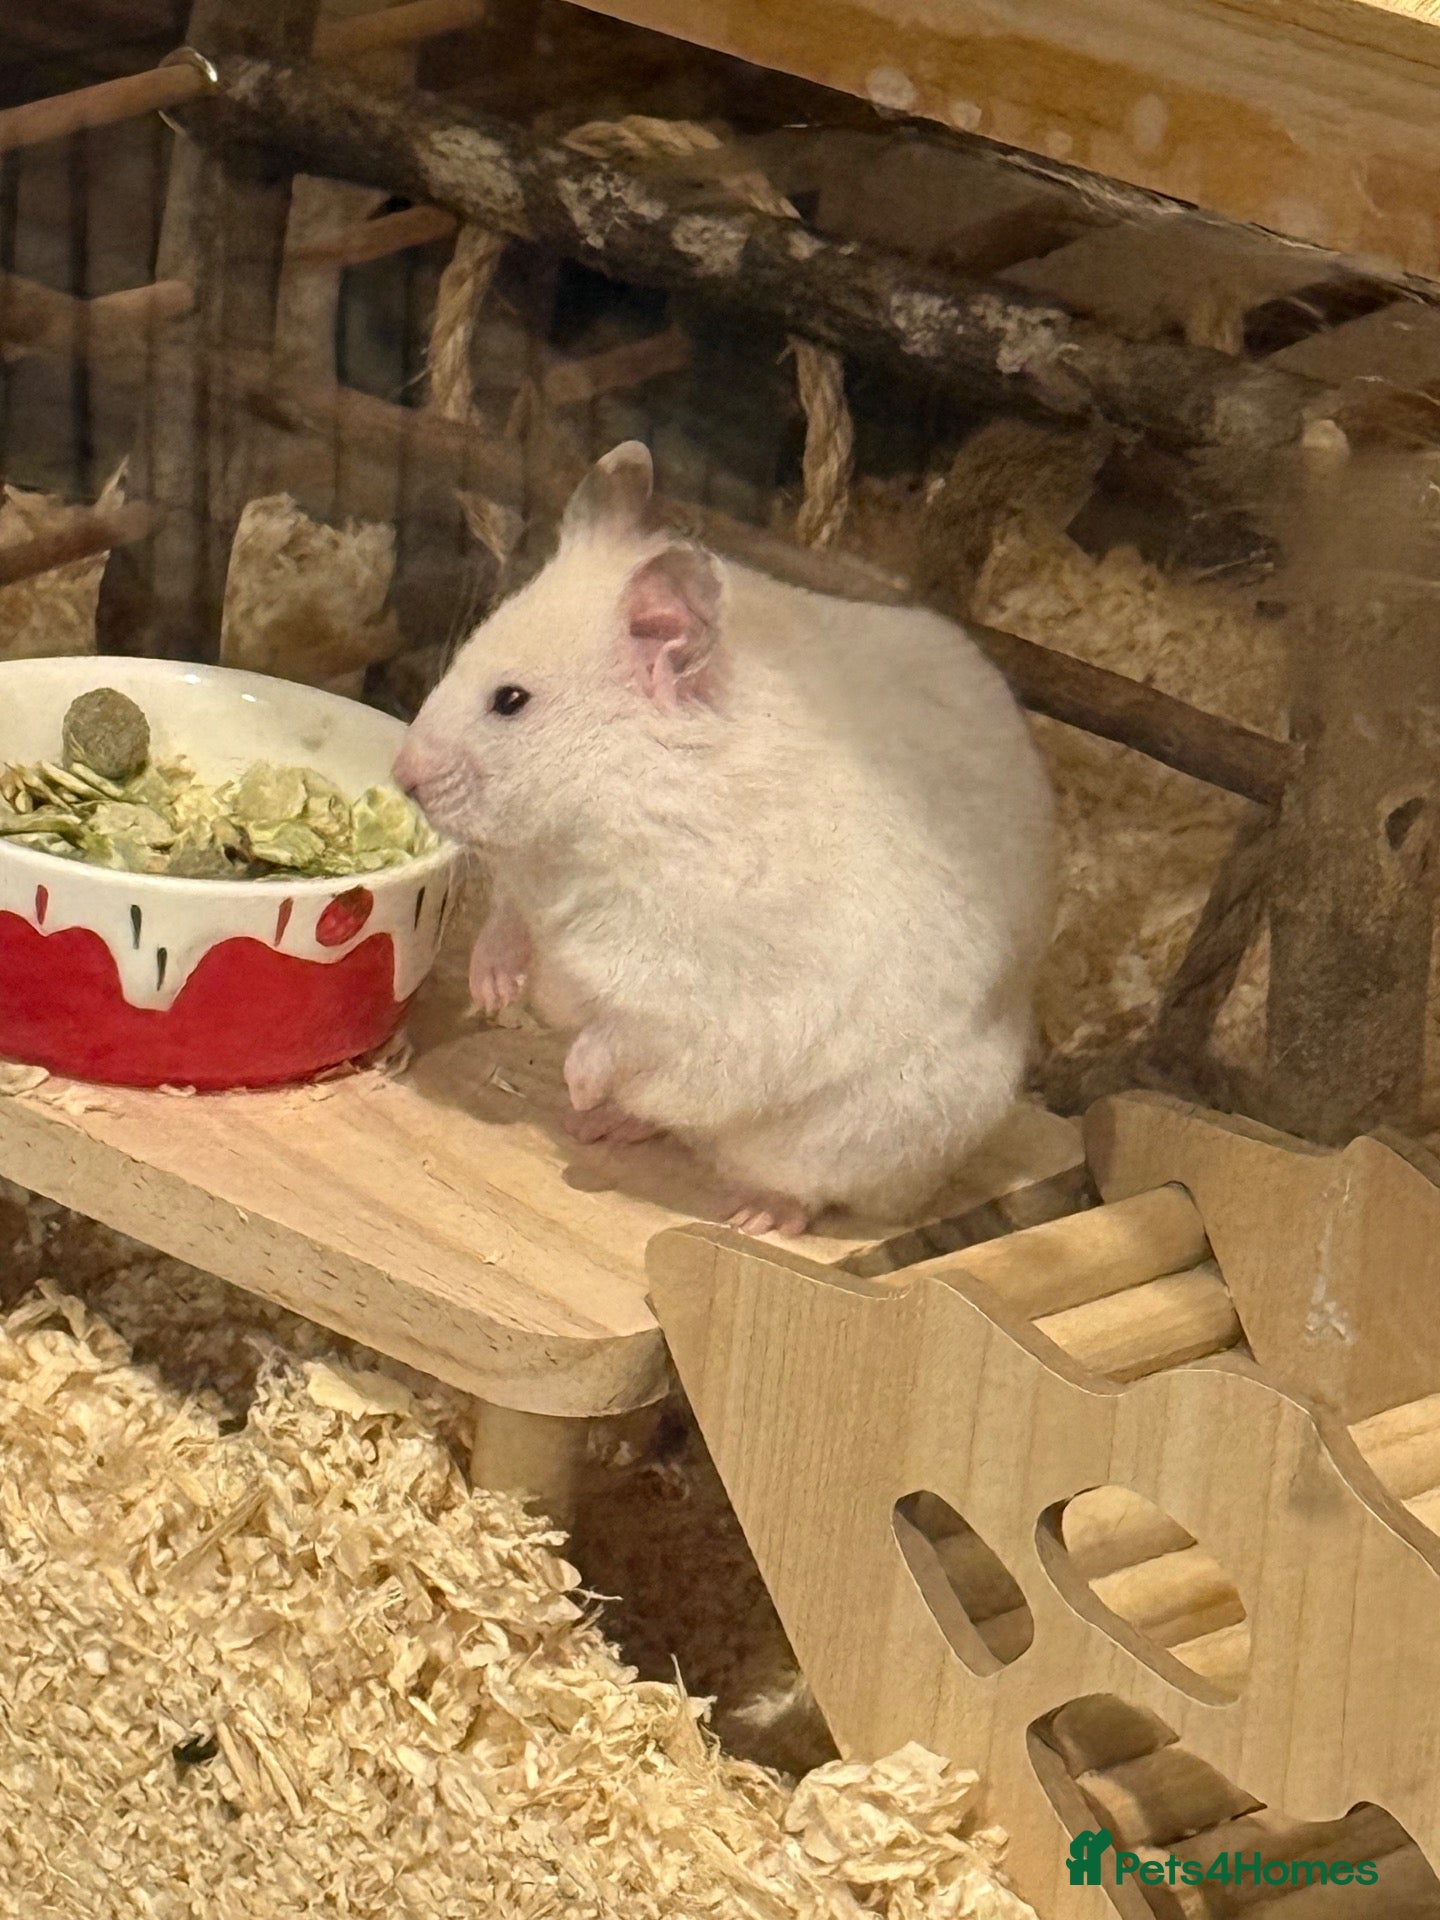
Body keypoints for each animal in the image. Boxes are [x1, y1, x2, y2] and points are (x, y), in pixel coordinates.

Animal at [395, 441, 1056, 1236]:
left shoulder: (701, 983)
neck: (598, 813)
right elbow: (507, 924)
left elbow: (626, 1028)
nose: (401, 775)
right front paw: (492, 992)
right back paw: (605, 1125)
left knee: (799, 1183)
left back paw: (750, 1213)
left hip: (856, 1135)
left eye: (510, 701)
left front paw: (575, 1080)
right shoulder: (531, 894)